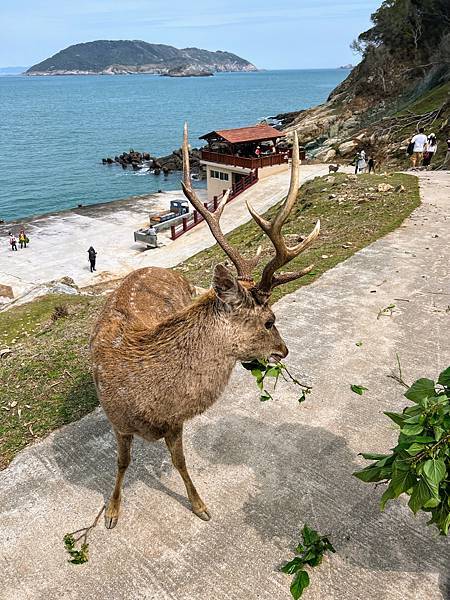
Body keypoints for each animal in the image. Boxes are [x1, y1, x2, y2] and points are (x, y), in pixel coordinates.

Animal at [89, 124, 318, 528]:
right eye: (270, 320)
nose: (285, 350)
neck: (147, 401)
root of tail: (158, 266)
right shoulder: (117, 421)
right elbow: (122, 462)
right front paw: (113, 511)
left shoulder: (175, 421)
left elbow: (180, 462)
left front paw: (199, 505)